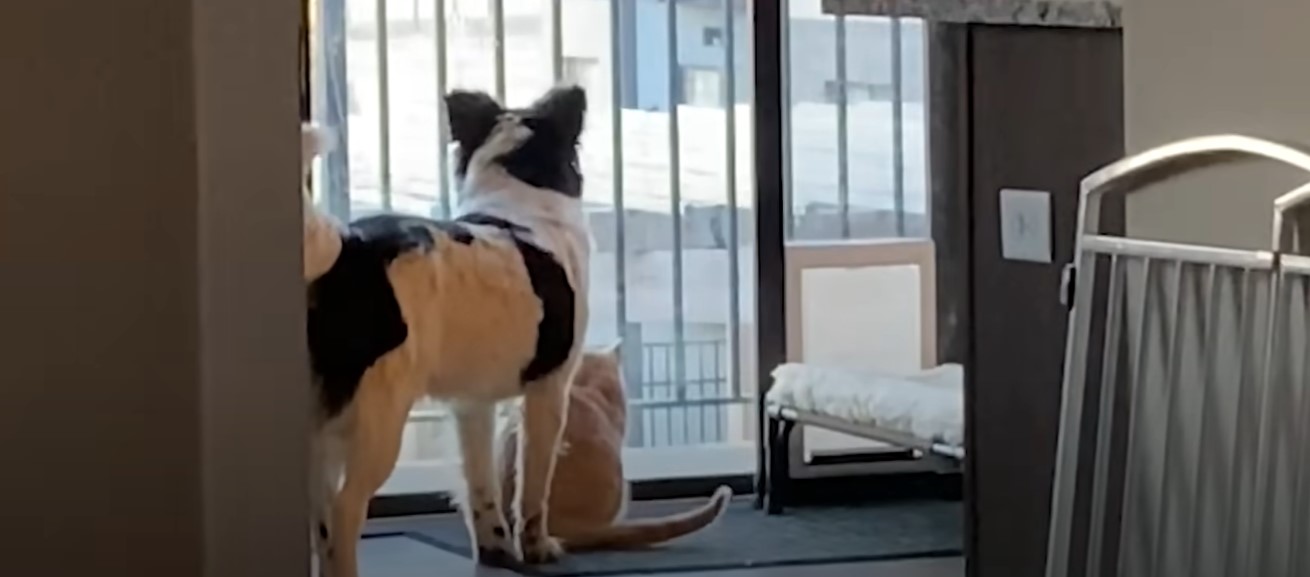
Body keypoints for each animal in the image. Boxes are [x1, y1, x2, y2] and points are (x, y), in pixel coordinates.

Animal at [301, 85, 589, 577]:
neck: (519, 192)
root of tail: (348, 248)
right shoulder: (550, 390)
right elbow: (534, 486)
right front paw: (537, 547)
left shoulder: (471, 404)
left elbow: (480, 486)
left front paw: (495, 550)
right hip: (378, 424)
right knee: (344, 512)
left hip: (323, 428)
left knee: (320, 516)